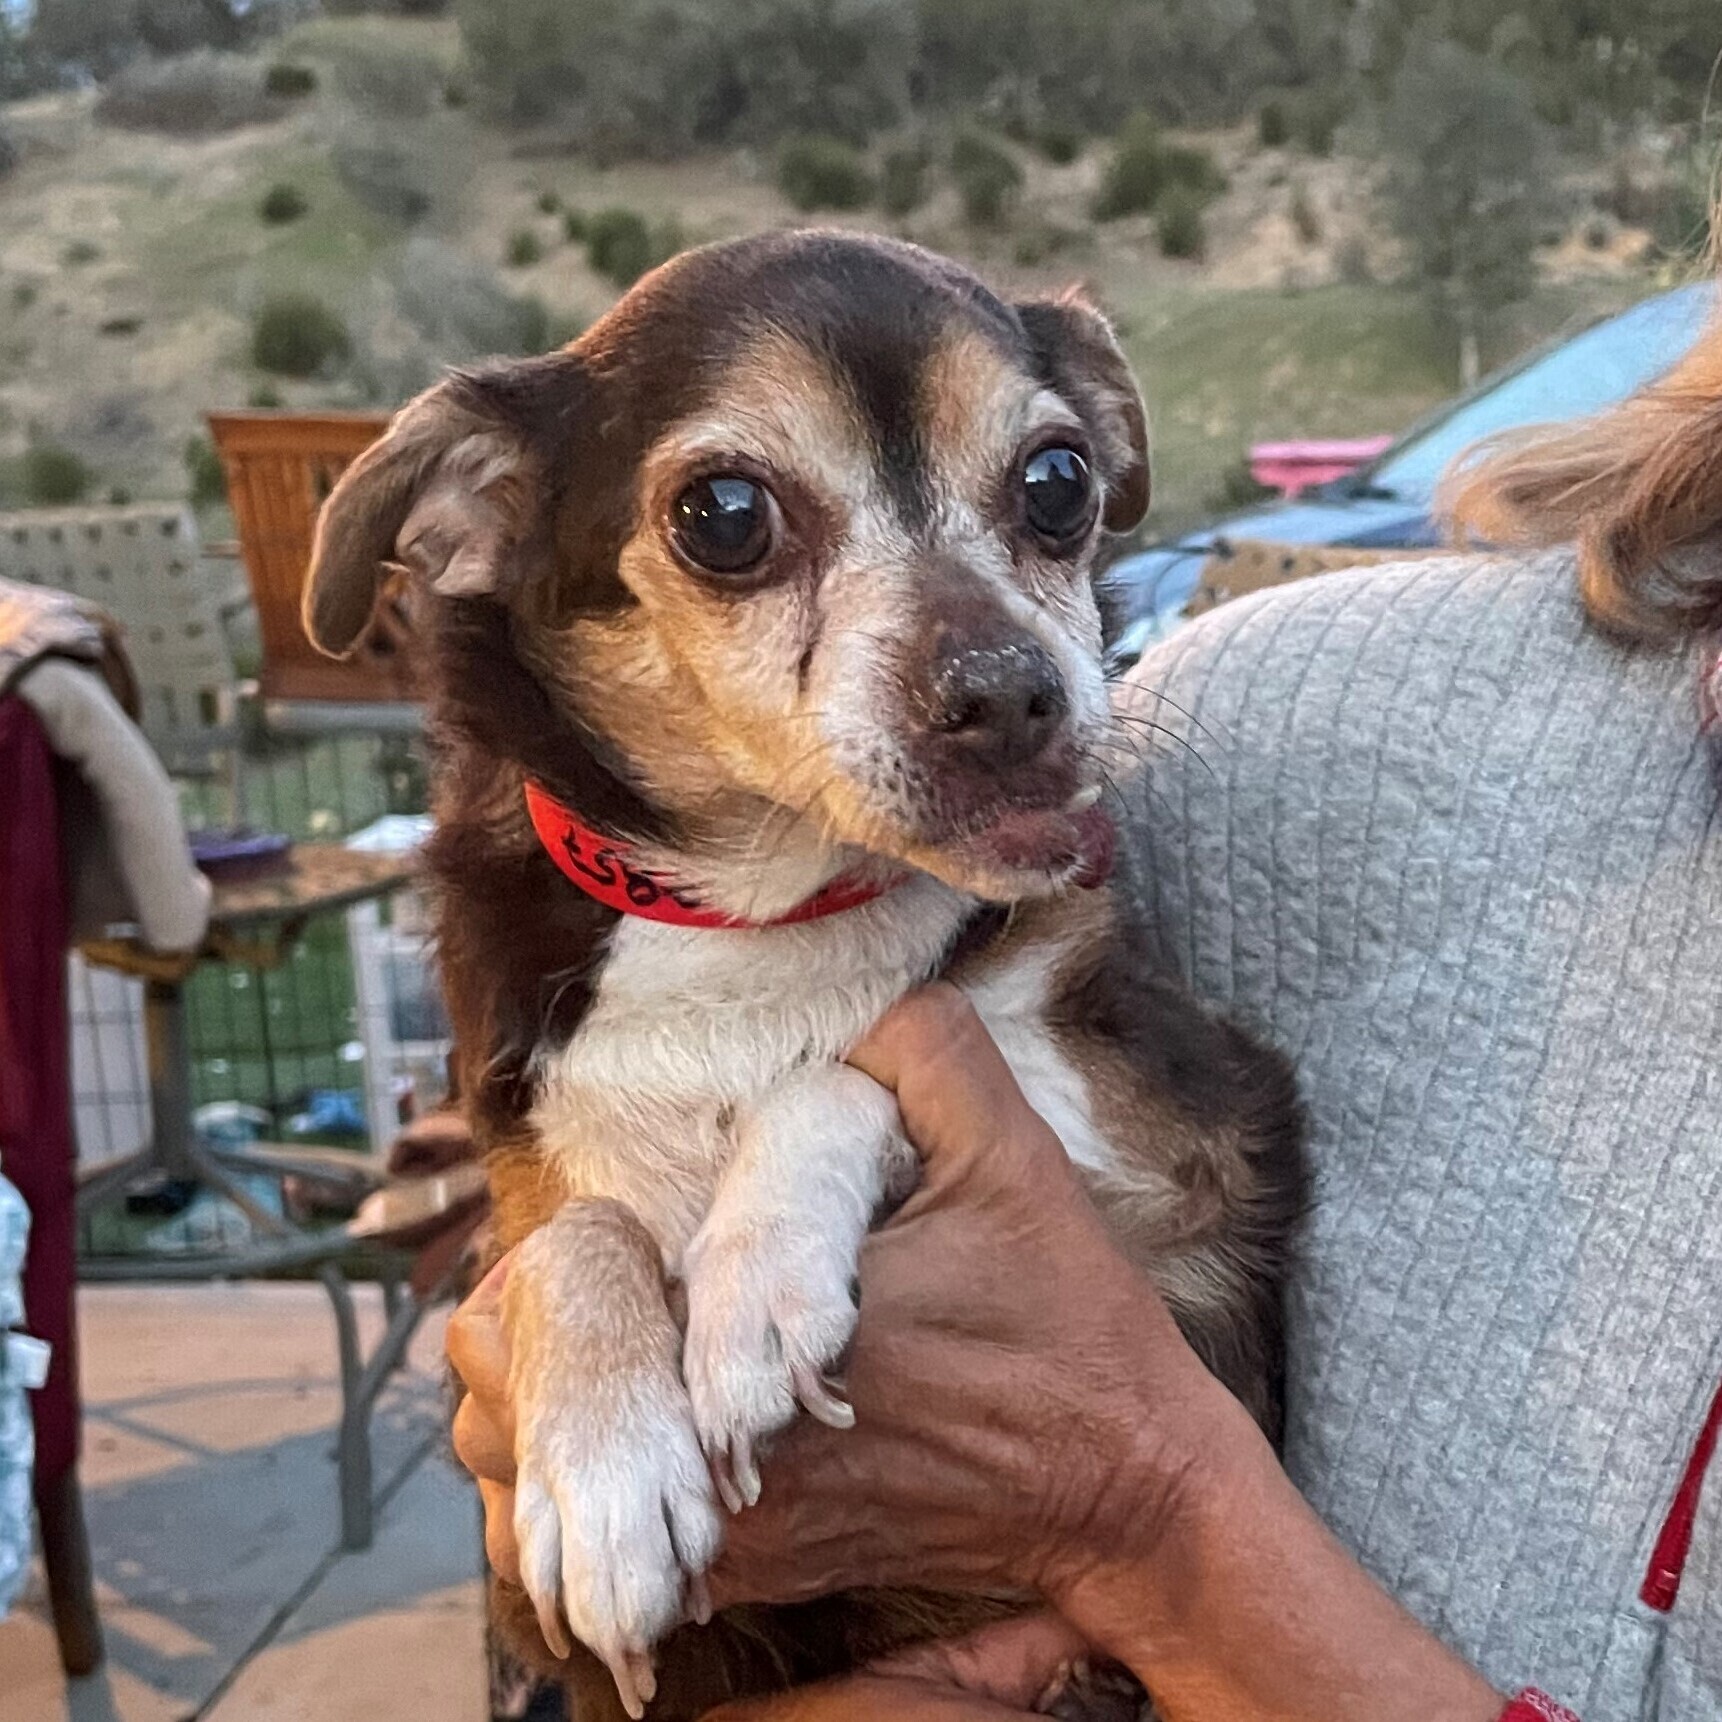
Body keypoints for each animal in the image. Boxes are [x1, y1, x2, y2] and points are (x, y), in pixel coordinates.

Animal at [306, 232, 1301, 1722]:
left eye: (1058, 482)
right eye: (724, 515)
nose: (1012, 695)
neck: (754, 912)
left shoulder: (1179, 1155)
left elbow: (852, 1058)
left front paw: (756, 1282)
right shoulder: (538, 1599)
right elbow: (572, 1233)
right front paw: (603, 1473)